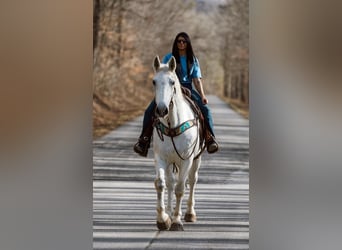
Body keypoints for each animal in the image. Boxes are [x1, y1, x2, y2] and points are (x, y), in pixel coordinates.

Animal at [151, 55, 202, 230]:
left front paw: (177, 221)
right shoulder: (161, 158)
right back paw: (169, 212)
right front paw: (163, 219)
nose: (161, 110)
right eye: (154, 81)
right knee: (170, 183)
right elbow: (161, 184)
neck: (173, 124)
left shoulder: (186, 159)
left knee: (192, 181)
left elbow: (181, 188)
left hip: (196, 159)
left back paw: (190, 214)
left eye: (172, 82)